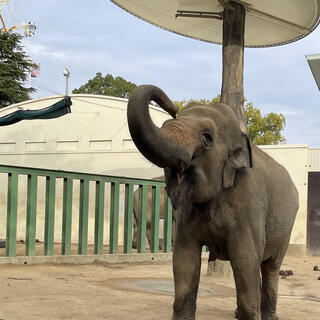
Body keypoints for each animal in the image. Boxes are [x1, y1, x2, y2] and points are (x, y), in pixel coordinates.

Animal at [127, 85, 300, 320]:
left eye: (207, 137)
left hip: (285, 229)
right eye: (165, 124)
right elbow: (184, 258)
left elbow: (245, 258)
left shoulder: (249, 203)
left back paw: (269, 316)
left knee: (270, 267)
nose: (172, 108)